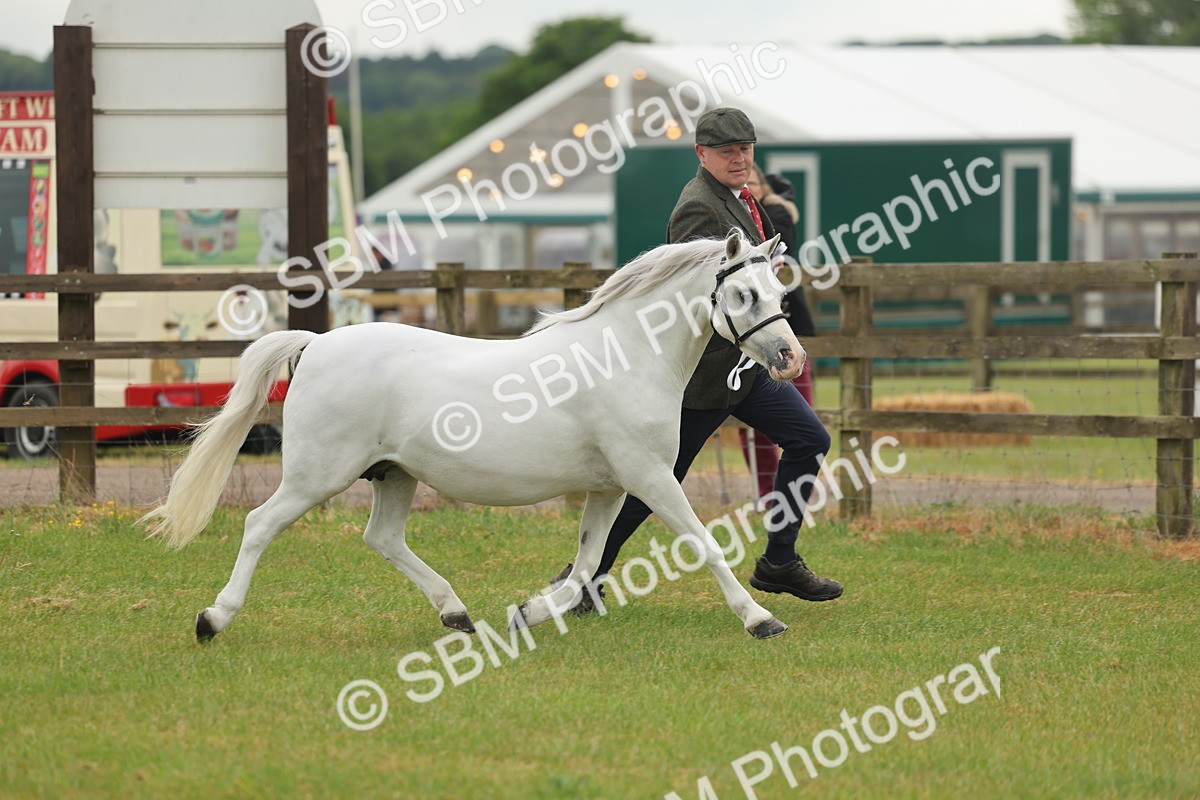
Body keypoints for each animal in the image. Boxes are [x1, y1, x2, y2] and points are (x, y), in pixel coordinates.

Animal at [143, 229, 806, 641]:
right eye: (744, 293)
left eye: (779, 291)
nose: (789, 357)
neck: (627, 356)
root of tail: (315, 345)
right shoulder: (650, 478)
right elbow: (704, 543)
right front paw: (761, 620)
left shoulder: (611, 487)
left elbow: (585, 564)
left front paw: (527, 613)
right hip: (317, 476)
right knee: (260, 524)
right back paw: (212, 619)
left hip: (394, 475)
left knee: (382, 538)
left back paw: (457, 613)